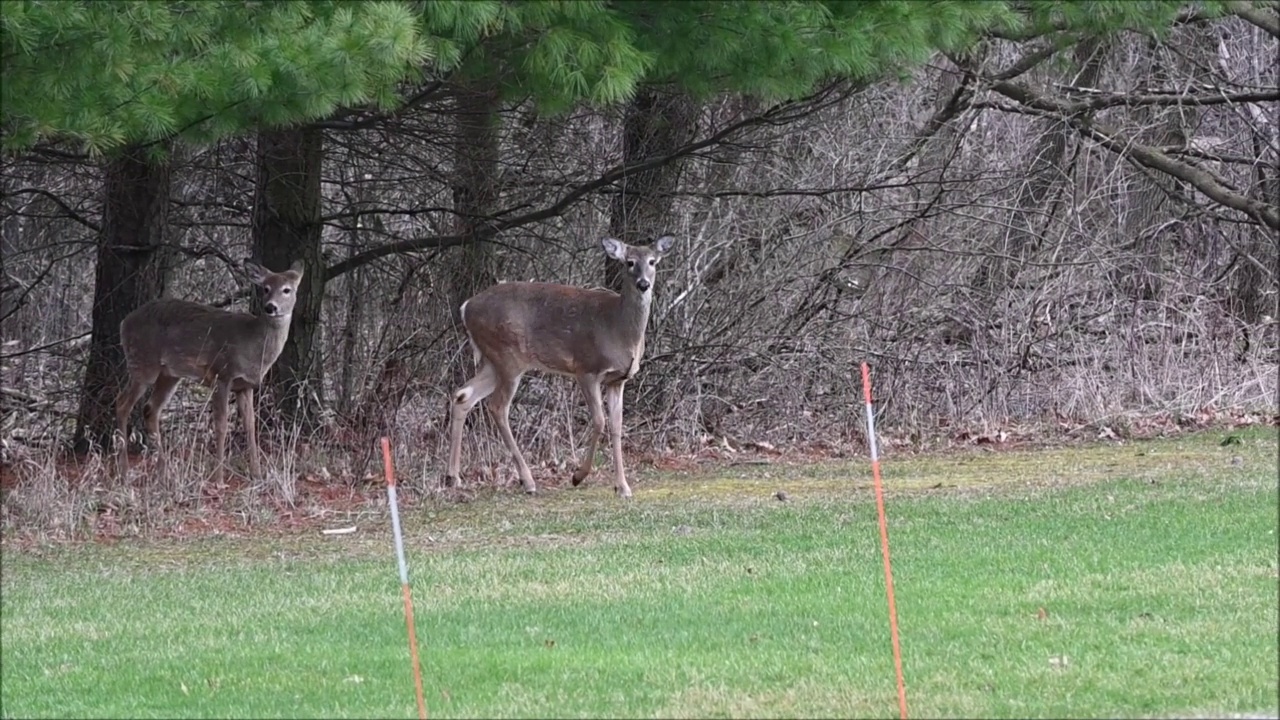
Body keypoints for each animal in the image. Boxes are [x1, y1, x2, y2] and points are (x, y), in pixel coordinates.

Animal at [114, 257, 304, 481]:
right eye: (266, 288)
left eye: (287, 289)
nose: (270, 307)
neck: (253, 346)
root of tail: (124, 322)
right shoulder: (222, 373)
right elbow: (221, 425)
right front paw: (219, 476)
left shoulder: (245, 385)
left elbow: (250, 426)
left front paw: (257, 474)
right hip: (143, 362)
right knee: (122, 404)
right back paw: (124, 471)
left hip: (169, 374)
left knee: (150, 409)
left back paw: (163, 472)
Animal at [445, 233, 675, 497]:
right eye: (629, 262)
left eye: (652, 261)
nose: (643, 284)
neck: (619, 330)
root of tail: (466, 308)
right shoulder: (586, 369)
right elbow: (599, 421)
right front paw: (578, 476)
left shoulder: (618, 380)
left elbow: (617, 426)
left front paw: (623, 487)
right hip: (507, 356)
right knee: (497, 407)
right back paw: (528, 481)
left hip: (493, 362)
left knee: (463, 395)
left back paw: (453, 476)